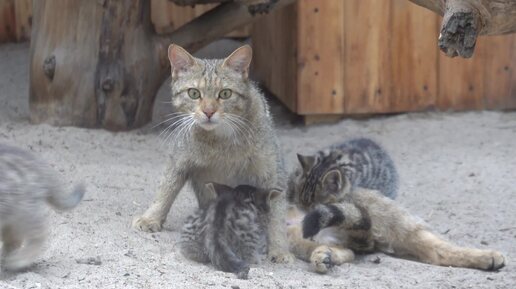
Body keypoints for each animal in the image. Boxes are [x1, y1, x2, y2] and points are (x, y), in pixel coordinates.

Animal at [132, 44, 294, 262]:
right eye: (194, 93)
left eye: (225, 94)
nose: (208, 112)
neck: (221, 140)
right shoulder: (179, 159)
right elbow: (165, 190)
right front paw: (151, 217)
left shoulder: (272, 174)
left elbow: (276, 215)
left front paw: (279, 249)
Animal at [288, 137, 506, 272]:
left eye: (312, 204)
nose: (304, 211)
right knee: (347, 250)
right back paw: (324, 256)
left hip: (394, 220)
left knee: (438, 247)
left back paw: (489, 257)